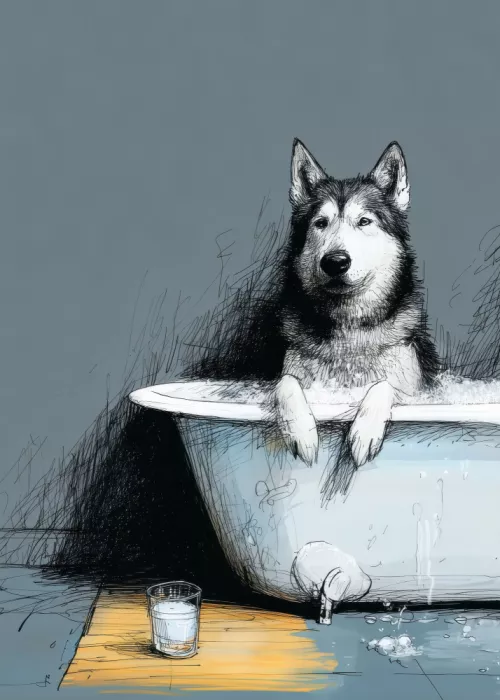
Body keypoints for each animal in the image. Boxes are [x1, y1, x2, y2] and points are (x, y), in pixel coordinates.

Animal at [274, 139, 440, 481]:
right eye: (320, 223)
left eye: (364, 221)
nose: (335, 261)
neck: (348, 335)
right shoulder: (292, 374)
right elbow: (285, 384)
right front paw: (302, 432)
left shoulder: (416, 391)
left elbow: (383, 385)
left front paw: (364, 432)